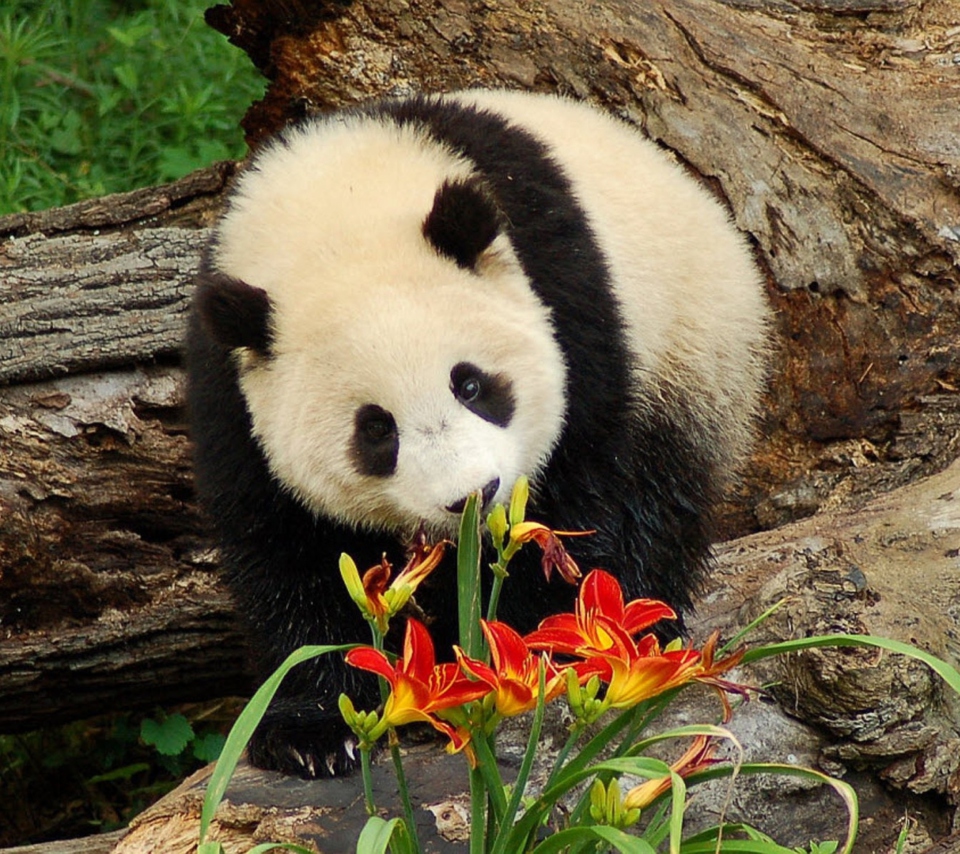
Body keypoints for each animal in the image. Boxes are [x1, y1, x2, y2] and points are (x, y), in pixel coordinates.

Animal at [188, 90, 772, 780]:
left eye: (470, 384)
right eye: (376, 429)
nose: (473, 495)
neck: (338, 207)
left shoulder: (569, 299)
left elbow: (579, 494)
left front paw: (522, 657)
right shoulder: (228, 387)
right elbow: (284, 546)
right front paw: (312, 732)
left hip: (688, 349)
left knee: (658, 497)